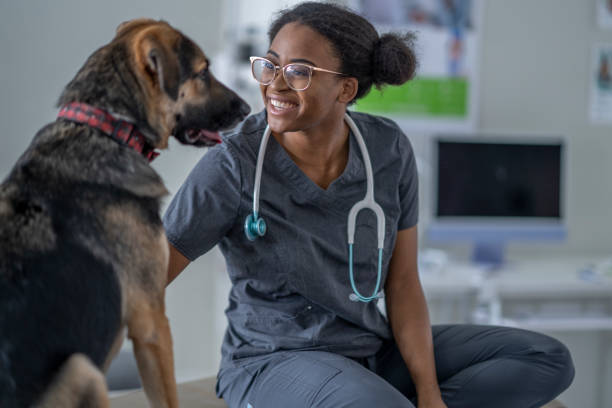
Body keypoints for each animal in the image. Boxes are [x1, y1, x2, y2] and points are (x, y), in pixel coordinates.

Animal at [0, 19, 250, 408]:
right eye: (203, 72)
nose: (247, 108)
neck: (106, 126)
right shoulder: (152, 323)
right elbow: (167, 398)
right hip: (82, 370)